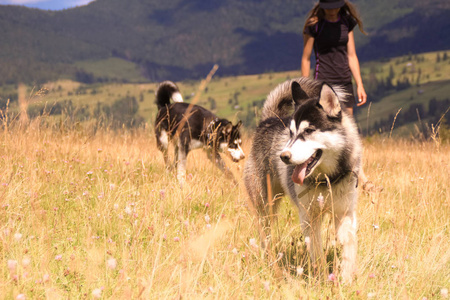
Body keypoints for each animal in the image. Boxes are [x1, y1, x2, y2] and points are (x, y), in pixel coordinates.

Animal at [243, 77, 362, 284]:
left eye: (309, 131)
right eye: (291, 133)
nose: (283, 156)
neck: (327, 180)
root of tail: (270, 118)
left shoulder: (345, 212)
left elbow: (348, 243)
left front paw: (346, 279)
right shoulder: (309, 216)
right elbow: (316, 249)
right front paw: (321, 279)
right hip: (265, 205)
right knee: (265, 232)